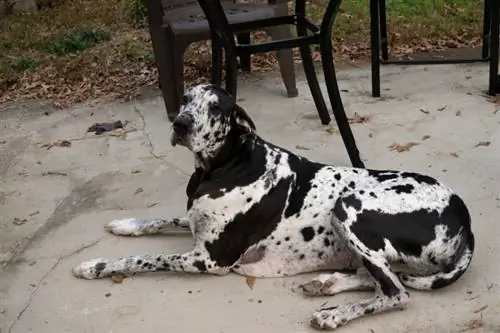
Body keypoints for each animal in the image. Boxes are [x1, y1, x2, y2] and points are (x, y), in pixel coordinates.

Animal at [72, 83, 474, 330]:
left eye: (216, 107)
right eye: (185, 100)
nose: (180, 124)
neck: (228, 163)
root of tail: (465, 221)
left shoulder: (209, 259)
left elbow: (143, 259)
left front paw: (96, 265)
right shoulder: (195, 226)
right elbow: (161, 220)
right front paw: (126, 224)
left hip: (348, 207)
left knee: (396, 292)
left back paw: (334, 315)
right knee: (387, 278)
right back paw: (328, 283)